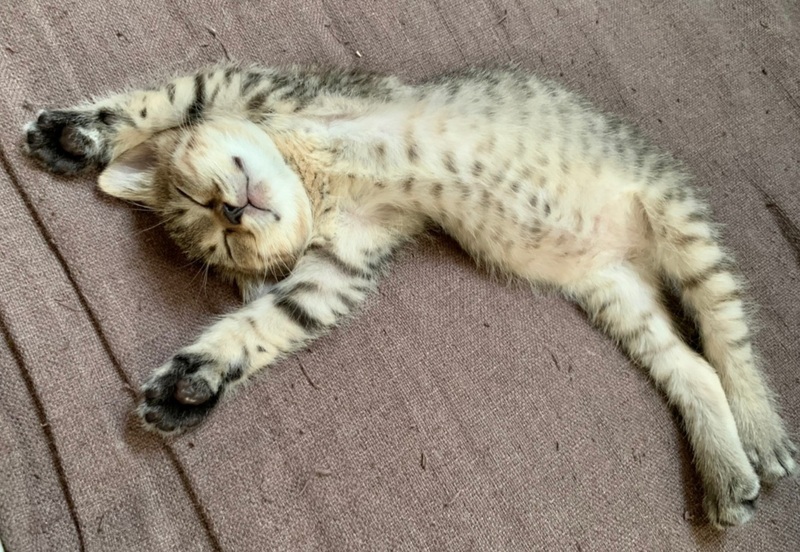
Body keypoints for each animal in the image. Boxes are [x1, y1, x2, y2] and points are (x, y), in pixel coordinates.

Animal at [23, 63, 796, 528]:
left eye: (197, 200)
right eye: (218, 237)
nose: (235, 211)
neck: (319, 176)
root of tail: (632, 252)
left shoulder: (260, 84)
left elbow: (167, 100)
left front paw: (75, 133)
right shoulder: (337, 269)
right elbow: (267, 323)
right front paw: (194, 384)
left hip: (679, 220)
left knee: (727, 338)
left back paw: (761, 436)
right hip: (616, 293)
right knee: (690, 365)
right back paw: (728, 473)